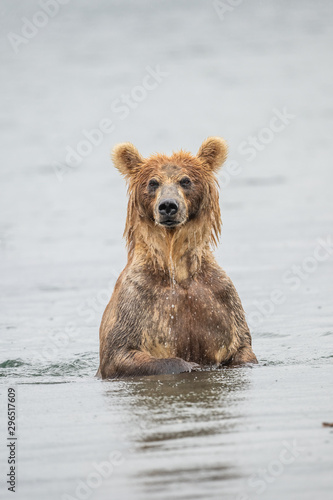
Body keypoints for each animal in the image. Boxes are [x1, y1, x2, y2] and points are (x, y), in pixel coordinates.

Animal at [96, 137, 256, 378]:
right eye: (153, 182)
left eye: (185, 180)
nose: (168, 206)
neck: (177, 271)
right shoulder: (136, 299)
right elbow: (119, 351)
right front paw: (190, 364)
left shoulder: (220, 297)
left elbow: (242, 346)